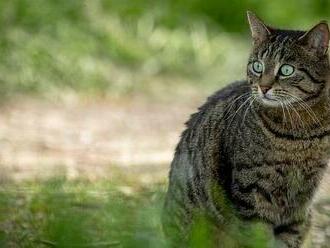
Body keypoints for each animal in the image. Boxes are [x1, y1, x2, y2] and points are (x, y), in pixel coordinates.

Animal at [162, 10, 330, 247]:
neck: (300, 132)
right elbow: (257, 236)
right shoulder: (251, 190)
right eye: (257, 66)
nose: (264, 87)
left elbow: (289, 235)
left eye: (286, 70)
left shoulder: (302, 199)